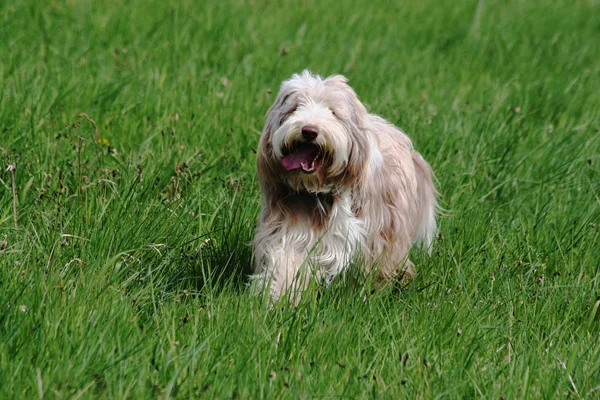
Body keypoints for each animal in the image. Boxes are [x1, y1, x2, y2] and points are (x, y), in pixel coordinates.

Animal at [252, 70, 436, 302]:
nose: (309, 130)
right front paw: (280, 296)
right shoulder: (290, 229)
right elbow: (287, 260)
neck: (321, 191)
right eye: (295, 108)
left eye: (333, 112)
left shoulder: (370, 235)